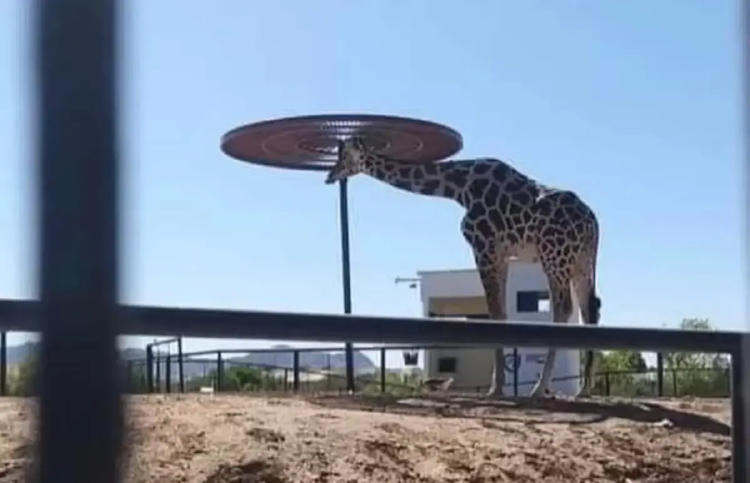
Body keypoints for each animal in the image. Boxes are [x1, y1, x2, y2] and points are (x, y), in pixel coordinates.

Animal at [325, 137, 601, 398]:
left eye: (344, 155)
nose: (330, 175)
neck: (458, 188)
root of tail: (592, 223)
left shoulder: (483, 247)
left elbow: (495, 313)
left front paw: (495, 388)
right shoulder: (501, 254)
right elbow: (502, 313)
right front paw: (497, 384)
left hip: (554, 257)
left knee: (564, 310)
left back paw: (539, 388)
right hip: (581, 262)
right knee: (590, 310)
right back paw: (583, 389)